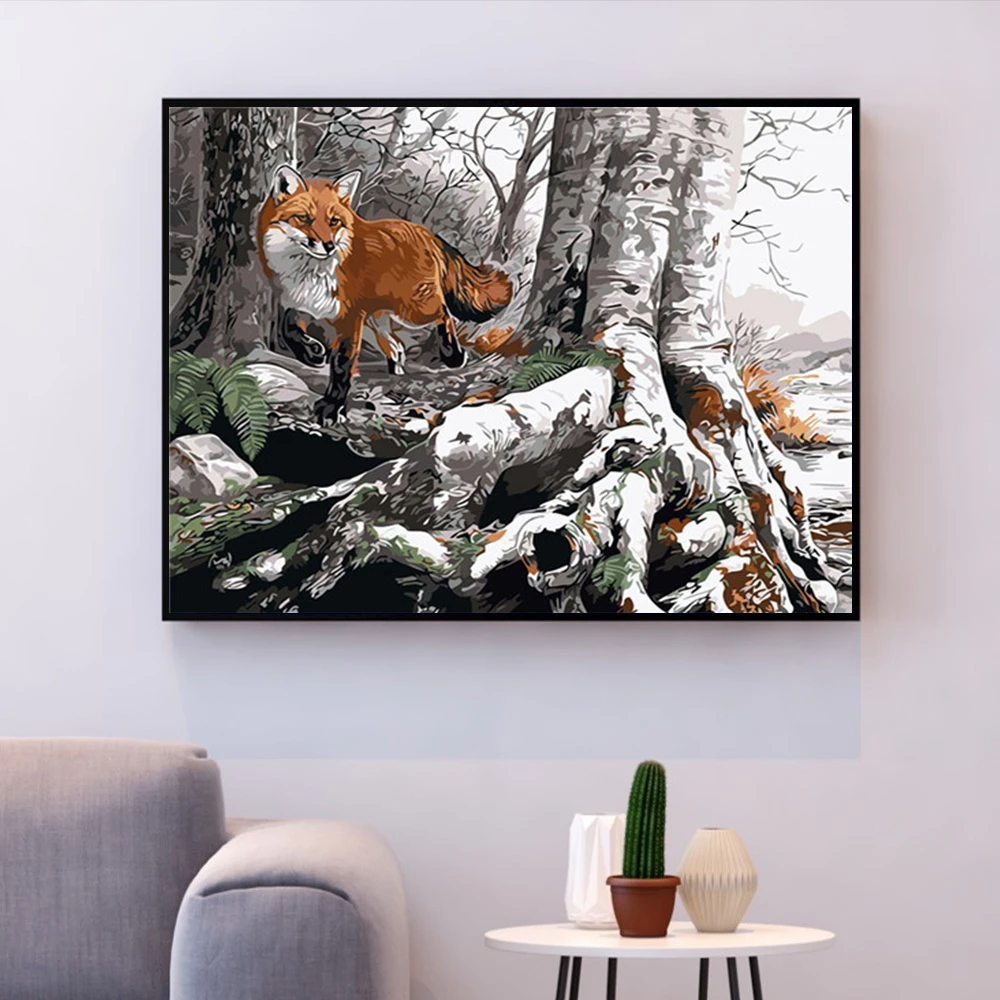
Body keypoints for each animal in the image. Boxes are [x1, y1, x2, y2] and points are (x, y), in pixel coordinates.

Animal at [257, 164, 513, 426]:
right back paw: (396, 376)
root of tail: (425, 232)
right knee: (397, 348)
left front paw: (331, 406)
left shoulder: (349, 318)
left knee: (443, 313)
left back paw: (453, 355)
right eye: (304, 219)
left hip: (412, 311)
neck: (310, 274)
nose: (328, 246)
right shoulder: (300, 302)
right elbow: (287, 328)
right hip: (377, 320)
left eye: (334, 221)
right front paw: (311, 353)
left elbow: (341, 365)